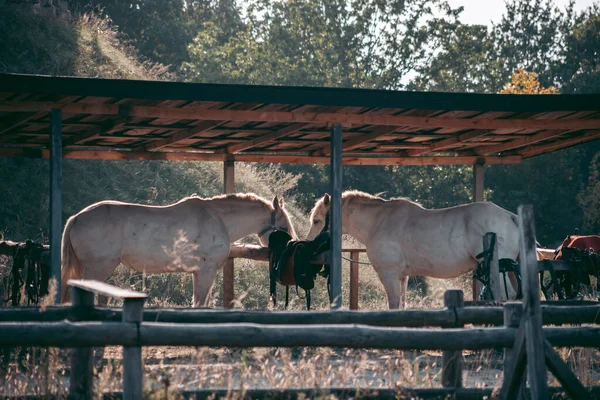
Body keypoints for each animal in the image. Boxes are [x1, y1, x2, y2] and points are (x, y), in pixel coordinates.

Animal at [61, 194, 296, 306]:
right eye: (283, 228)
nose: (291, 251)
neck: (218, 219)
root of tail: (76, 218)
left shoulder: (199, 273)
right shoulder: (205, 272)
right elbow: (200, 304)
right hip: (97, 269)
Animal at [308, 191, 524, 310]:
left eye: (317, 221)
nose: (309, 244)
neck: (379, 222)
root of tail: (511, 217)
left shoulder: (389, 274)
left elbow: (393, 303)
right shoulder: (403, 276)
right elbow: (402, 304)